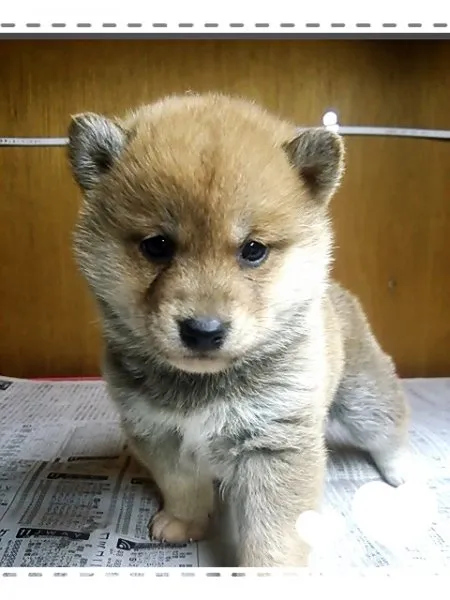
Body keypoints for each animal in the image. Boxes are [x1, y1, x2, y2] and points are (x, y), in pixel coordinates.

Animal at [67, 94, 412, 568]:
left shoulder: (275, 443)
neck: (203, 387)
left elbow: (274, 532)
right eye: (157, 246)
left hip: (363, 395)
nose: (203, 330)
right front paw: (184, 524)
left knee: (390, 430)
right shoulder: (159, 436)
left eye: (253, 250)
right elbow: (183, 489)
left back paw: (404, 475)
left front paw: (271, 572)